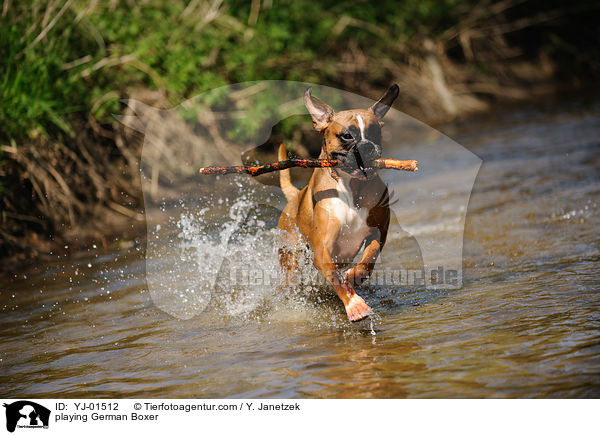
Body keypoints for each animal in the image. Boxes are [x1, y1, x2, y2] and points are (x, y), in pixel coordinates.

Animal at [278, 85, 400, 322]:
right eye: (347, 136)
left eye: (375, 133)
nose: (367, 147)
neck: (352, 187)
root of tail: (295, 196)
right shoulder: (322, 249)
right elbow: (336, 277)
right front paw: (355, 305)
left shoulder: (378, 231)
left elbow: (369, 257)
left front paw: (355, 276)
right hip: (290, 260)